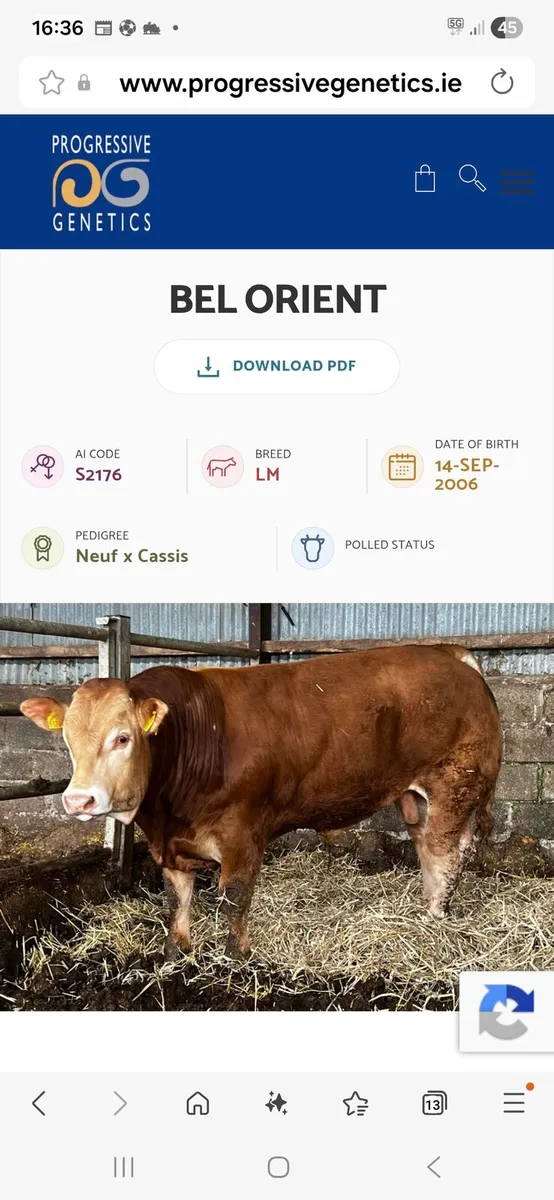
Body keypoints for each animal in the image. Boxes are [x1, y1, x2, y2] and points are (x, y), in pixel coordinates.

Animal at [20, 645, 502, 958]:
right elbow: (178, 897)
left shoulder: (242, 833)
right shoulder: (171, 846)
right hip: (415, 798)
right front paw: (177, 950)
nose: (79, 800)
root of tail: (451, 653)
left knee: (446, 852)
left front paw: (236, 957)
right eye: (66, 739)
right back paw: (426, 909)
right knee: (426, 847)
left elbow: (234, 895)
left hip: (453, 786)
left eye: (122, 737)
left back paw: (435, 916)